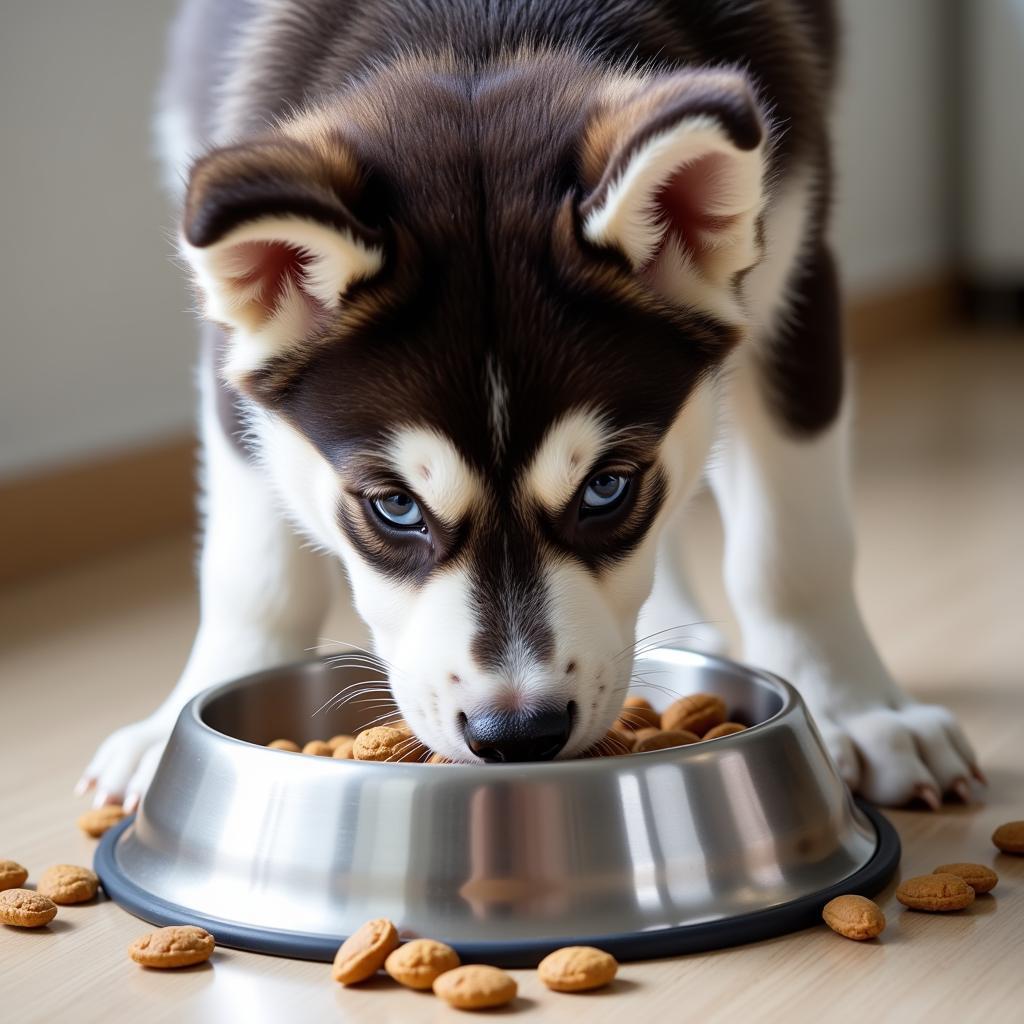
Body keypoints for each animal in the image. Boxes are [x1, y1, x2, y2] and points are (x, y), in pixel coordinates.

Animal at [77, 0, 974, 811]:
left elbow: (795, 545)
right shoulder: (236, 366)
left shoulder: (796, 265)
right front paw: (182, 718)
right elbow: (251, 567)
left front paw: (858, 709)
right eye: (395, 507)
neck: (482, 31)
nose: (517, 735)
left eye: (606, 488)